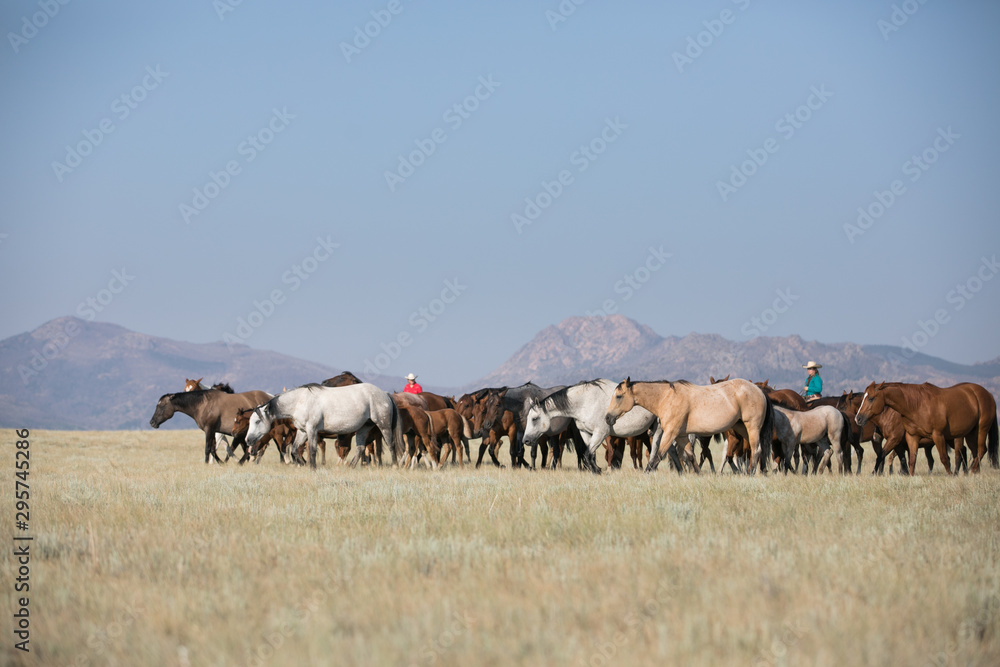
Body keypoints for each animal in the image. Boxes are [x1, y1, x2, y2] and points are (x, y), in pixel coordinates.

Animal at [247, 383, 403, 469]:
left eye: (257, 421)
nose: (248, 440)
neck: (300, 401)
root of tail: (385, 394)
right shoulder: (303, 431)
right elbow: (295, 450)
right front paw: (303, 464)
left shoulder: (312, 430)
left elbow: (312, 450)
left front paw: (313, 468)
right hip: (363, 427)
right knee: (360, 448)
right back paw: (351, 467)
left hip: (384, 425)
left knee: (391, 444)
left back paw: (395, 465)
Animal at [605, 377, 774, 474]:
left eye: (618, 396)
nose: (607, 418)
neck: (666, 398)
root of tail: (758, 390)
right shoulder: (681, 435)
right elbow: (691, 456)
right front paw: (698, 474)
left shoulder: (670, 433)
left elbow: (657, 456)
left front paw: (646, 474)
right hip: (742, 428)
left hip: (752, 427)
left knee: (756, 450)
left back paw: (751, 473)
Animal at [855, 381, 998, 475]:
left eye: (871, 398)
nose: (858, 418)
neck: (915, 405)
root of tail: (989, 394)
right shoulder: (911, 437)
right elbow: (910, 460)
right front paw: (908, 475)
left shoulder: (936, 435)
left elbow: (944, 458)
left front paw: (950, 475)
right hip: (969, 434)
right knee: (972, 452)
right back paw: (972, 472)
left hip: (979, 430)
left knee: (977, 451)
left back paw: (969, 471)